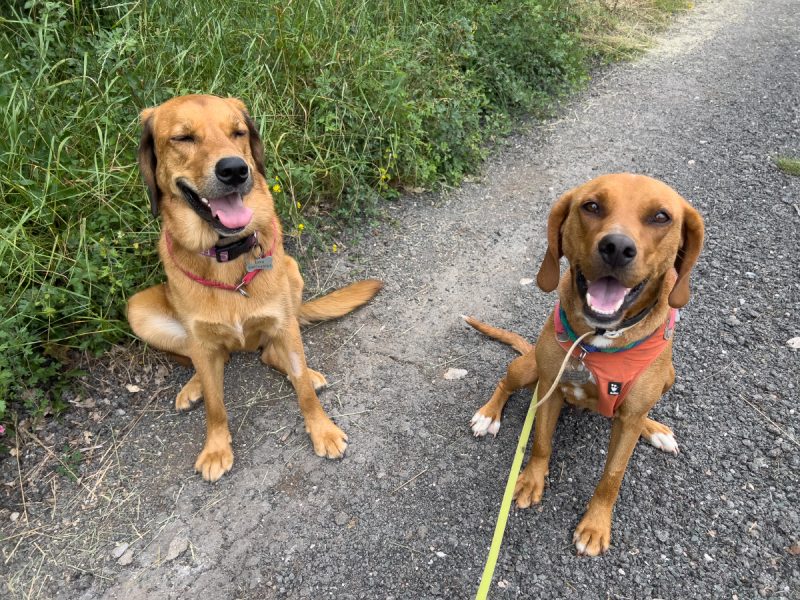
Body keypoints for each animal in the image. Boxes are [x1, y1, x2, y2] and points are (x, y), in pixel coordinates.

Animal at [127, 97, 382, 482]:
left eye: (238, 132)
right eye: (183, 137)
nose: (235, 170)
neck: (224, 253)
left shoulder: (283, 323)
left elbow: (304, 391)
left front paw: (322, 430)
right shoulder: (197, 337)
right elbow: (215, 407)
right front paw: (216, 447)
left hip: (291, 275)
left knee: (272, 354)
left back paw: (305, 371)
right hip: (139, 310)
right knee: (208, 359)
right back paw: (195, 385)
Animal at [466, 176, 704, 556]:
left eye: (661, 217)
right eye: (591, 206)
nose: (617, 247)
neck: (598, 338)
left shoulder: (628, 418)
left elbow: (612, 476)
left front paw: (595, 525)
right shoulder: (550, 389)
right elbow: (541, 443)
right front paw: (530, 482)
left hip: (668, 376)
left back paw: (653, 428)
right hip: (530, 368)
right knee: (506, 381)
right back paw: (489, 414)